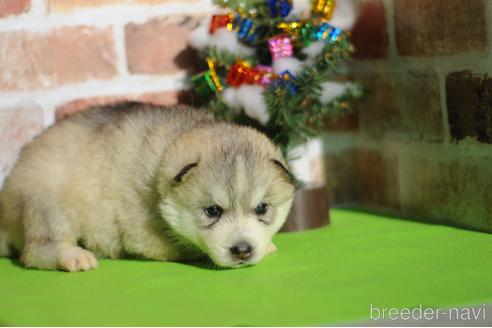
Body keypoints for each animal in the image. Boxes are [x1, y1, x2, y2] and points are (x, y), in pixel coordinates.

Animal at [0, 103, 294, 272]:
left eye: (262, 208)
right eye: (212, 211)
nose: (242, 250)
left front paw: (266, 244)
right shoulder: (140, 229)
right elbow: (181, 248)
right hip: (48, 201)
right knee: (35, 250)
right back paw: (72, 256)